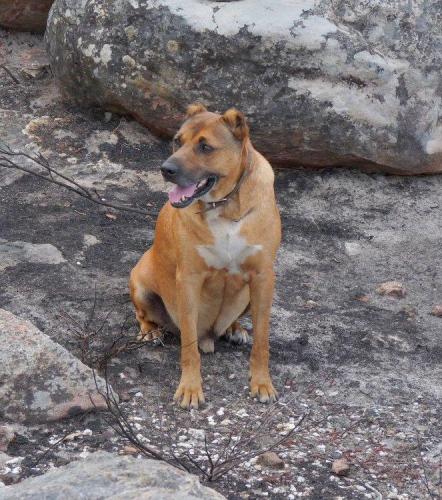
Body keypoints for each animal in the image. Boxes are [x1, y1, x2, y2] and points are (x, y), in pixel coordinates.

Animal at [129, 103, 280, 408]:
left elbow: (262, 340)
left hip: (250, 294)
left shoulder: (263, 277)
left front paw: (261, 382)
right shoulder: (189, 280)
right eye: (178, 140)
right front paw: (190, 388)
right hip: (140, 283)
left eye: (205, 147)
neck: (225, 207)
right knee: (143, 314)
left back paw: (235, 329)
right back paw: (150, 331)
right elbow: (188, 346)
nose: (166, 169)